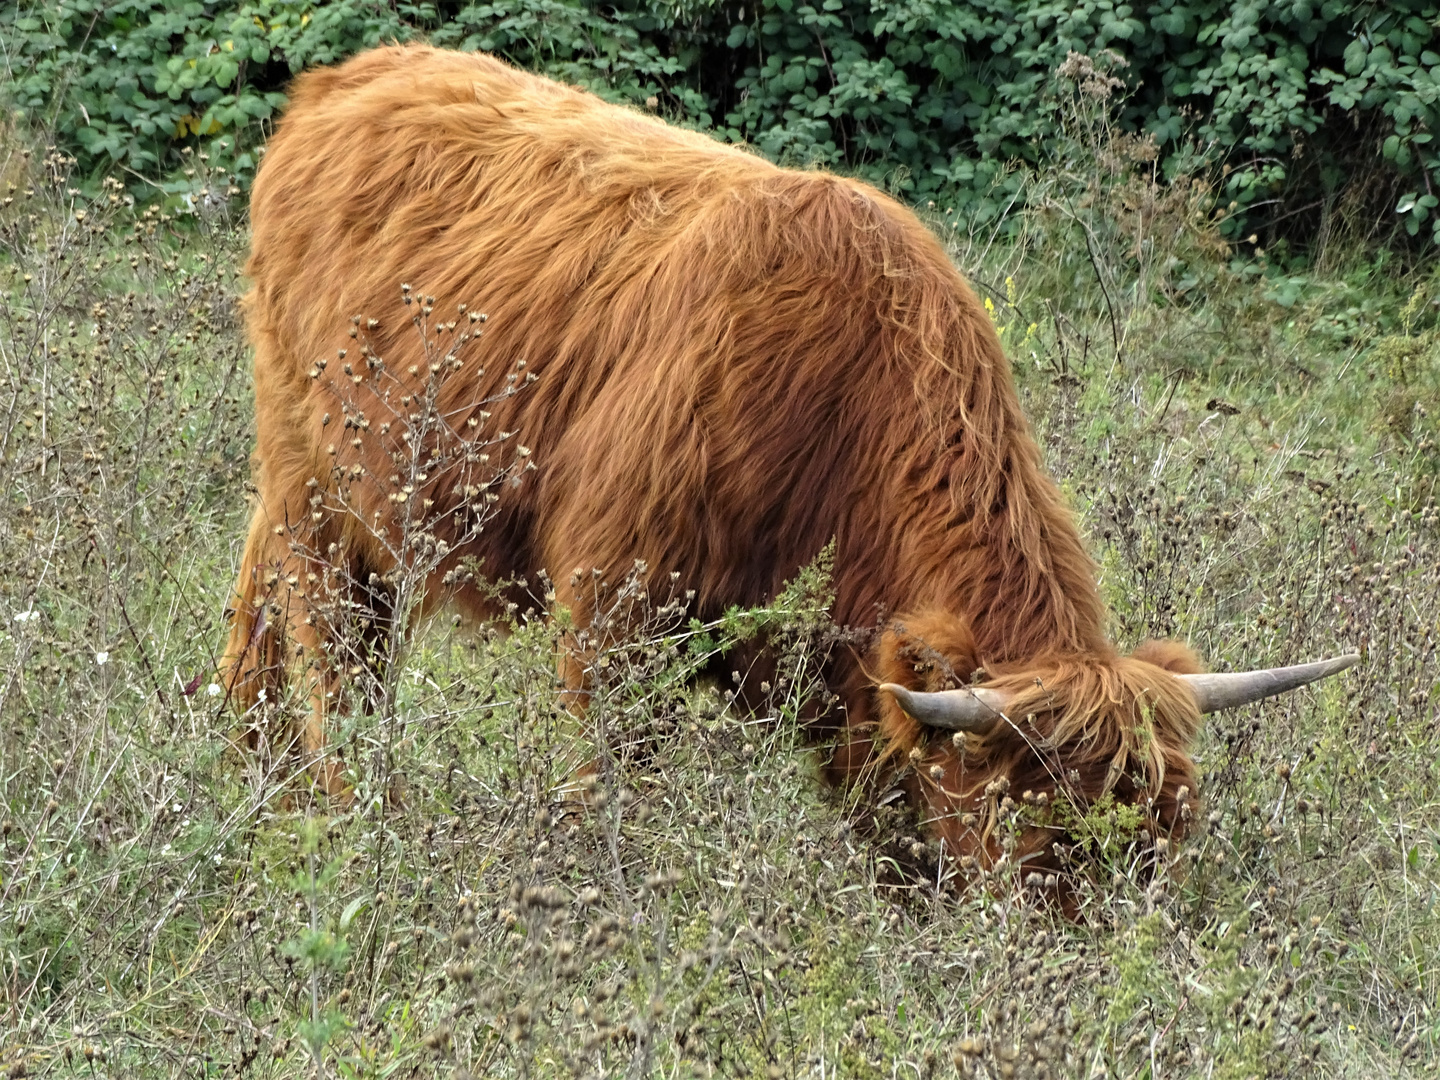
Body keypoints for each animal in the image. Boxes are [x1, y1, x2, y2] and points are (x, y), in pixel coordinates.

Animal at [221, 46, 1347, 898]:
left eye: (1167, 839)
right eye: (1037, 841)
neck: (846, 415)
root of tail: (350, 75)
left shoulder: (850, 673)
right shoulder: (616, 607)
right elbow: (617, 783)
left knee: (261, 600)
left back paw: (255, 776)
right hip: (322, 482)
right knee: (337, 646)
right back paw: (353, 815)